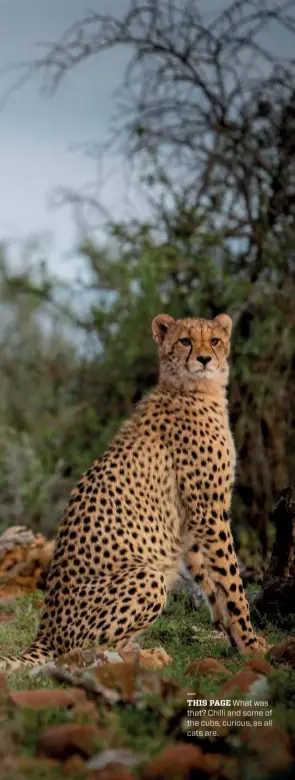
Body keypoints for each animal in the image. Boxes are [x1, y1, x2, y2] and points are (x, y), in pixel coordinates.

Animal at [0, 312, 268, 672]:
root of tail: (45, 632)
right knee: (84, 651)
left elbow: (213, 583)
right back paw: (144, 656)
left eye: (214, 340)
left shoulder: (191, 522)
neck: (195, 388)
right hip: (147, 576)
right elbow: (231, 581)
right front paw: (250, 643)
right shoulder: (208, 511)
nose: (204, 359)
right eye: (185, 341)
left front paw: (235, 639)